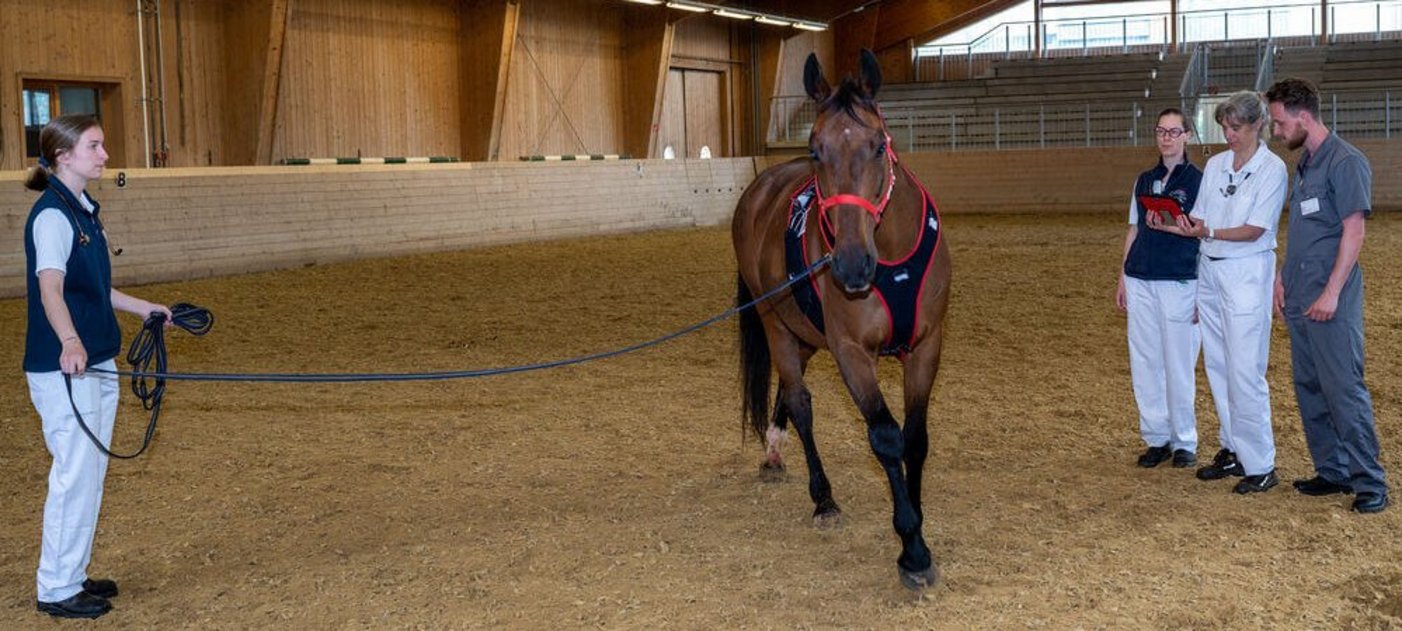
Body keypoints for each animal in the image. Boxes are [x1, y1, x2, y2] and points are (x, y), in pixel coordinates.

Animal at [731, 50, 952, 590]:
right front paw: (912, 546)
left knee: (789, 395)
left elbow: (915, 438)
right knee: (800, 401)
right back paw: (823, 497)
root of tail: (761, 186)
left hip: (805, 331)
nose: (851, 266)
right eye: (816, 149)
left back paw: (775, 448)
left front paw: (917, 517)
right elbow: (886, 436)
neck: (888, 255)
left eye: (877, 146)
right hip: (775, 322)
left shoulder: (927, 345)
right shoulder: (851, 353)